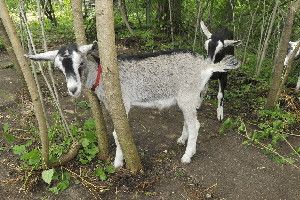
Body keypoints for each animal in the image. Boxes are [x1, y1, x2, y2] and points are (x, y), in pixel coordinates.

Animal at [27, 43, 240, 168]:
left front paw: (117, 163)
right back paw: (182, 139)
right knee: (189, 119)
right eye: (58, 68)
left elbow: (118, 133)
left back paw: (188, 155)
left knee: (196, 125)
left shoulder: (123, 102)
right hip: (188, 96)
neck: (101, 75)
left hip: (188, 94)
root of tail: (206, 66)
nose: (73, 89)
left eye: (80, 63)